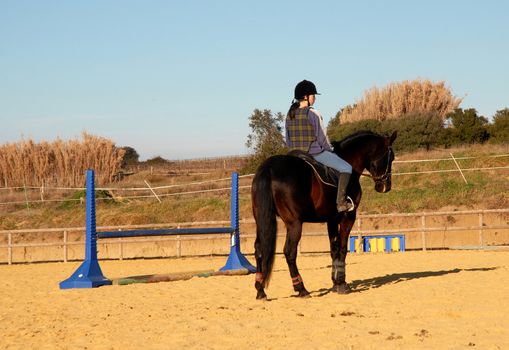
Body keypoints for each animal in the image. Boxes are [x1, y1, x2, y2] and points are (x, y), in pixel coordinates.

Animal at [250, 130, 396, 300]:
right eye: (391, 157)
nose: (385, 186)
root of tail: (269, 168)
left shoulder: (331, 220)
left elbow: (333, 249)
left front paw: (335, 282)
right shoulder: (348, 217)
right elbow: (342, 248)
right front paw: (342, 283)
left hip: (261, 220)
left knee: (259, 249)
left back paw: (260, 290)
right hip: (294, 223)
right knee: (289, 252)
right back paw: (301, 288)